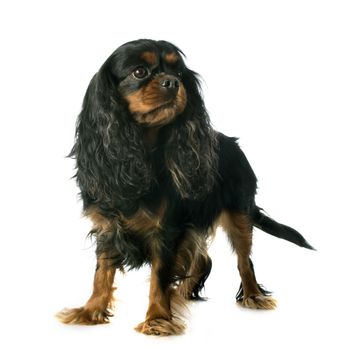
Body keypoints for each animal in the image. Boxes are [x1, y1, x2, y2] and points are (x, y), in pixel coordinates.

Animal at [56, 39, 314, 336]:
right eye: (139, 72)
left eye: (179, 73)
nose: (172, 82)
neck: (140, 152)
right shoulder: (108, 227)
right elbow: (102, 272)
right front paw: (90, 311)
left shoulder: (166, 230)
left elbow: (159, 276)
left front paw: (157, 319)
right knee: (202, 259)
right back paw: (182, 293)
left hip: (239, 213)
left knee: (243, 261)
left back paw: (252, 296)